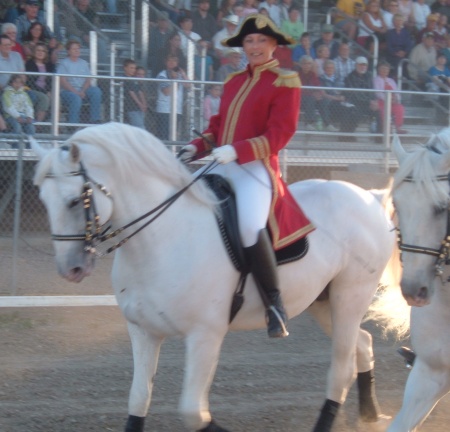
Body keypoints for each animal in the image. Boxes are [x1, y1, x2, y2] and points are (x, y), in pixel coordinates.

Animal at [32, 122, 398, 432]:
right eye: (43, 201)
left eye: (74, 200)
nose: (70, 269)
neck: (162, 237)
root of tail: (369, 197)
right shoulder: (143, 331)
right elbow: (138, 400)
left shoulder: (205, 336)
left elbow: (194, 413)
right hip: (322, 302)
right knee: (363, 345)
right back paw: (370, 414)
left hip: (351, 296)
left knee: (341, 368)